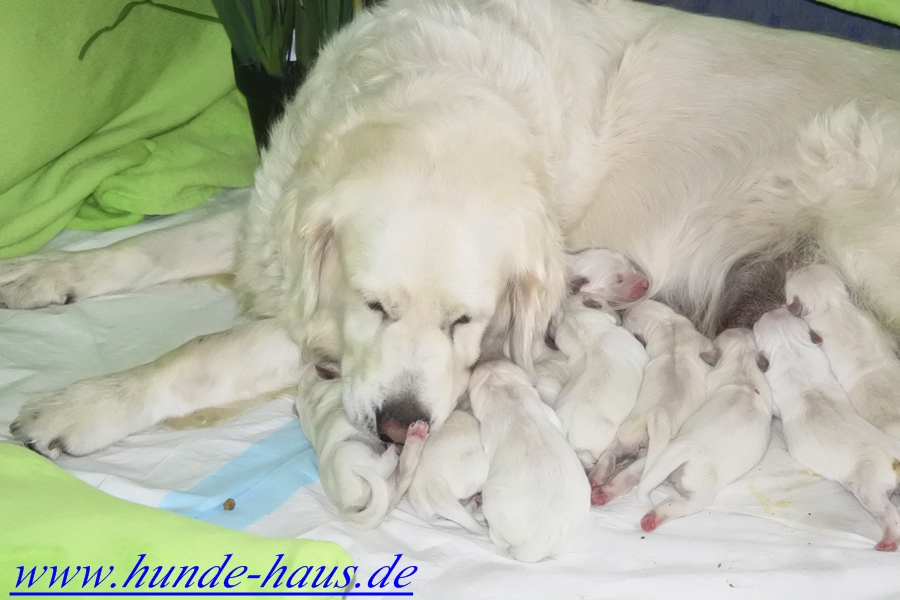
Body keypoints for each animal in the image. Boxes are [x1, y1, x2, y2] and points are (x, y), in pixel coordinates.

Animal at [295, 363, 429, 529]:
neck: (307, 392)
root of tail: (346, 509)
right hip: (349, 451)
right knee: (385, 465)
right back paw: (397, 447)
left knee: (405, 469)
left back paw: (414, 437)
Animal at [468, 360, 591, 562]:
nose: (486, 361)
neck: (507, 393)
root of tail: (539, 542)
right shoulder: (549, 413)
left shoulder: (487, 434)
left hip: (492, 501)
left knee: (499, 539)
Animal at [589, 300, 713, 505]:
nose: (624, 311)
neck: (668, 324)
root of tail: (654, 416)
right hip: (653, 459)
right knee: (631, 474)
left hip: (625, 438)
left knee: (611, 456)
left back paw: (596, 479)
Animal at [637, 328, 773, 532]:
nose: (745, 328)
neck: (742, 365)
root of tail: (691, 450)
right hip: (701, 490)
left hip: (698, 489)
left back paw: (652, 518)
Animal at [753, 308, 900, 551]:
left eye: (756, 324)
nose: (771, 309)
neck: (791, 349)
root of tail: (894, 459)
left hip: (869, 487)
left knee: (888, 512)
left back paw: (889, 539)